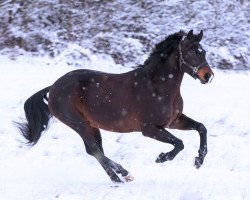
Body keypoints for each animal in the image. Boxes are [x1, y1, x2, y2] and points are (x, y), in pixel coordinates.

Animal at [16, 30, 214, 183]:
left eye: (203, 52)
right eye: (192, 52)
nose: (208, 76)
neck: (158, 85)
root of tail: (53, 87)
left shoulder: (173, 121)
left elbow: (201, 128)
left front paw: (199, 160)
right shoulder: (150, 129)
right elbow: (179, 143)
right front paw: (162, 158)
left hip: (91, 125)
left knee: (94, 150)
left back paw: (118, 177)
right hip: (78, 124)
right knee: (94, 150)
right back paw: (124, 173)